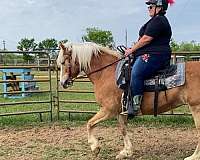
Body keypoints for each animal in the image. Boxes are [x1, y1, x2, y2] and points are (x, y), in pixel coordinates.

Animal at [56, 42, 200, 159]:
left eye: (63, 62)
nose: (63, 83)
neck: (106, 73)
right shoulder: (120, 111)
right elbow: (123, 129)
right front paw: (126, 151)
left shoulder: (108, 110)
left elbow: (90, 123)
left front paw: (95, 147)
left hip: (196, 107)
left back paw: (193, 156)